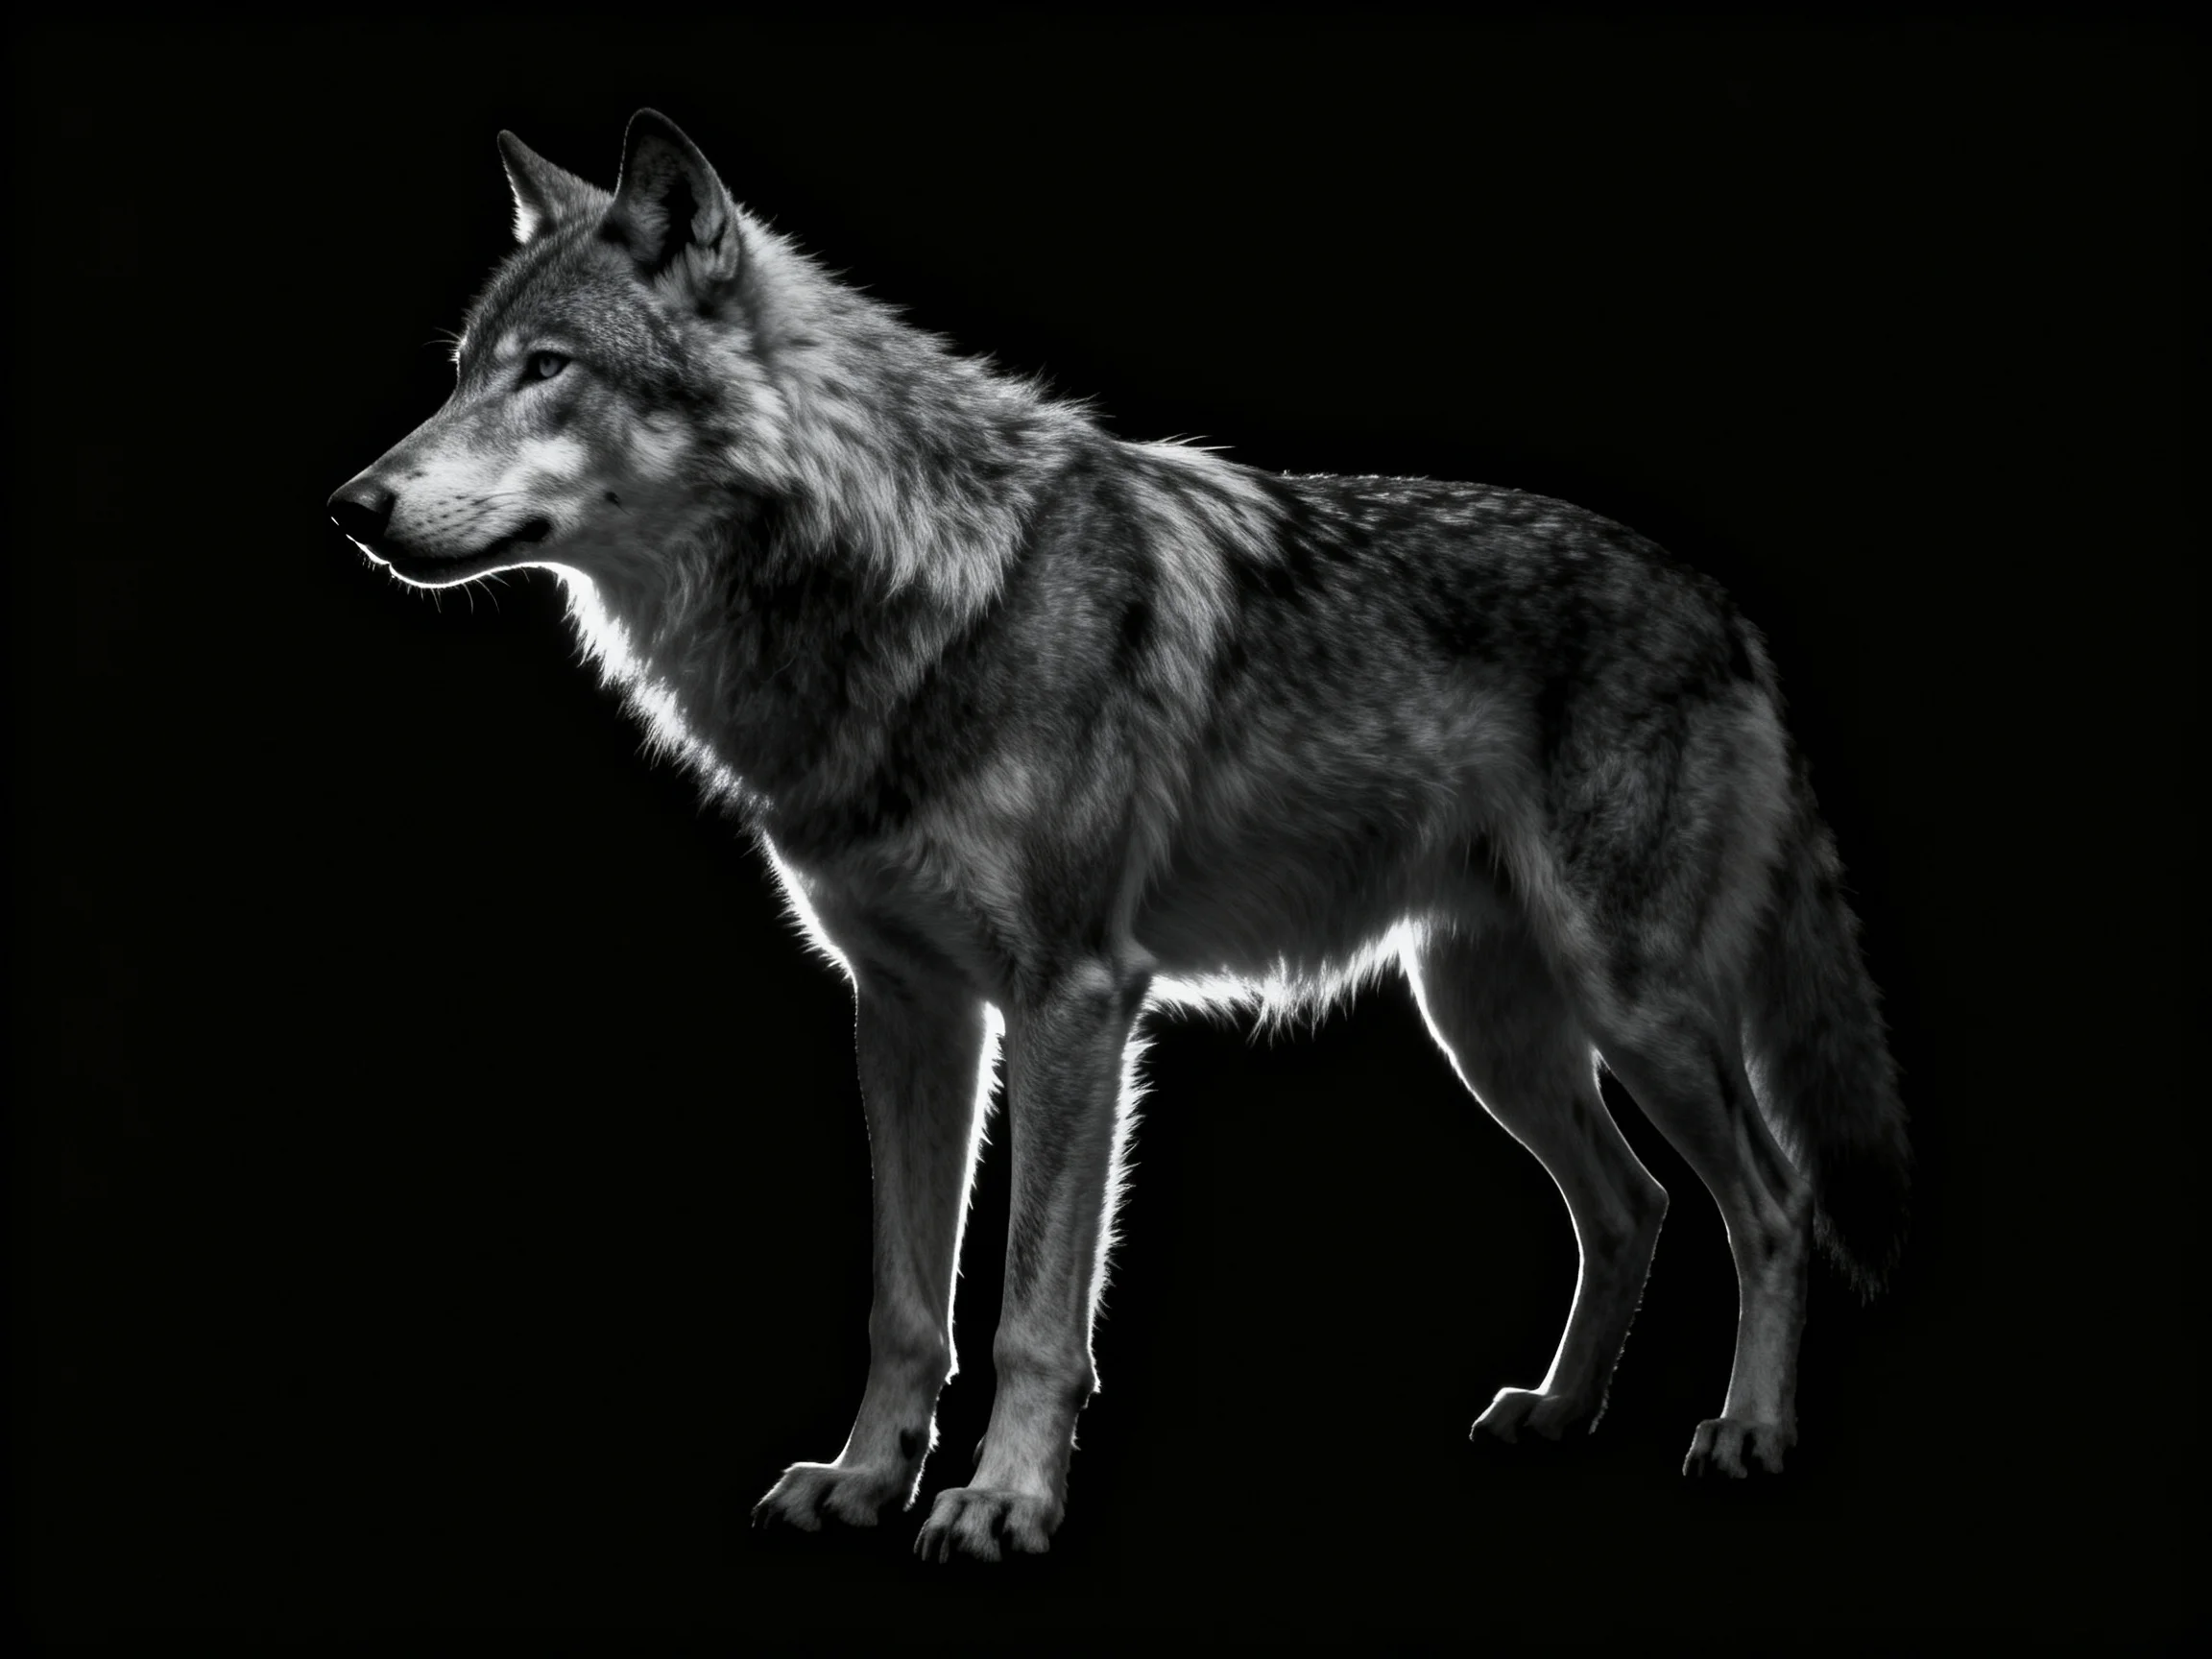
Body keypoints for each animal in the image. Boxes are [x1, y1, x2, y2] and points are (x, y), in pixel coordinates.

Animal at [329, 111, 1908, 1562]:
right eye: (462, 369)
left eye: (548, 370)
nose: (352, 506)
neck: (901, 595)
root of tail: (1726, 608)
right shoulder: (904, 1008)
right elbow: (905, 1301)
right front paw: (863, 1479)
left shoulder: (1076, 999)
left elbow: (1033, 1308)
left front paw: (1002, 1502)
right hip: (1490, 1028)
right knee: (1634, 1208)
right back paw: (1558, 1413)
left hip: (1628, 1008)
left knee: (1772, 1207)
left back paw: (1748, 1431)